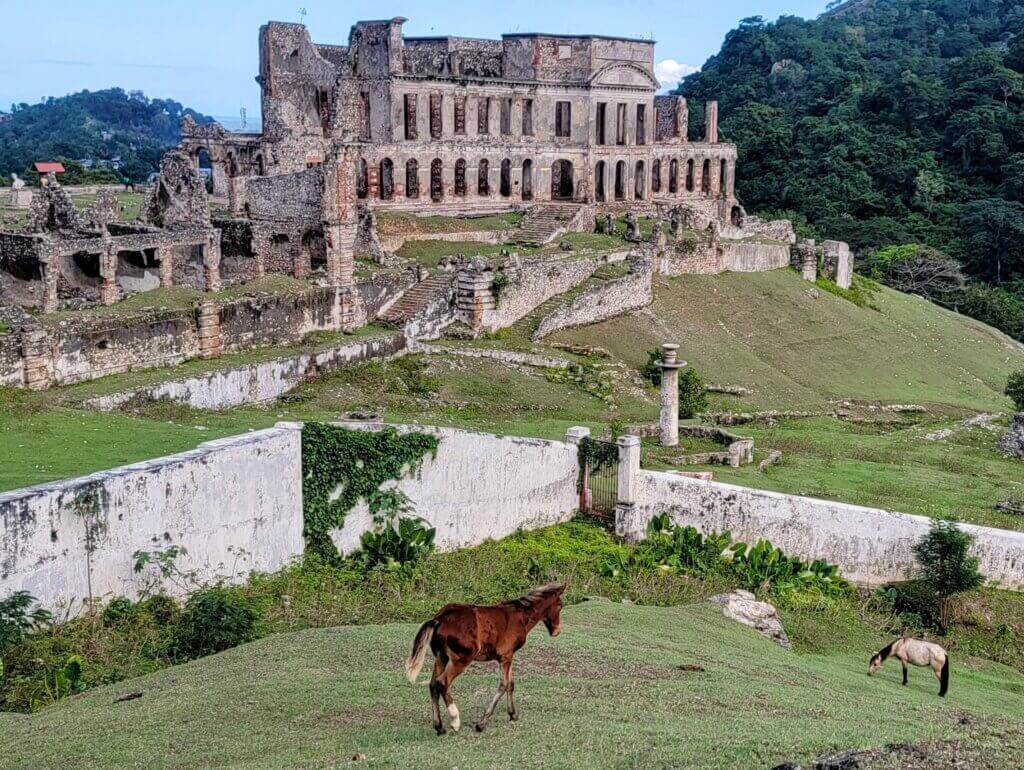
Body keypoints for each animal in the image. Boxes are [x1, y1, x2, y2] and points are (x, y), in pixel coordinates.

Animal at [405, 581, 569, 733]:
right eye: (560, 605)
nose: (557, 631)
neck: (520, 616)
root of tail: (440, 619)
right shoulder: (505, 657)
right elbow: (504, 685)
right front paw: (481, 723)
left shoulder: (509, 656)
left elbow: (511, 684)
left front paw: (512, 714)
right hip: (461, 659)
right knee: (442, 682)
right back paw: (455, 721)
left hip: (441, 657)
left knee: (433, 684)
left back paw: (439, 727)